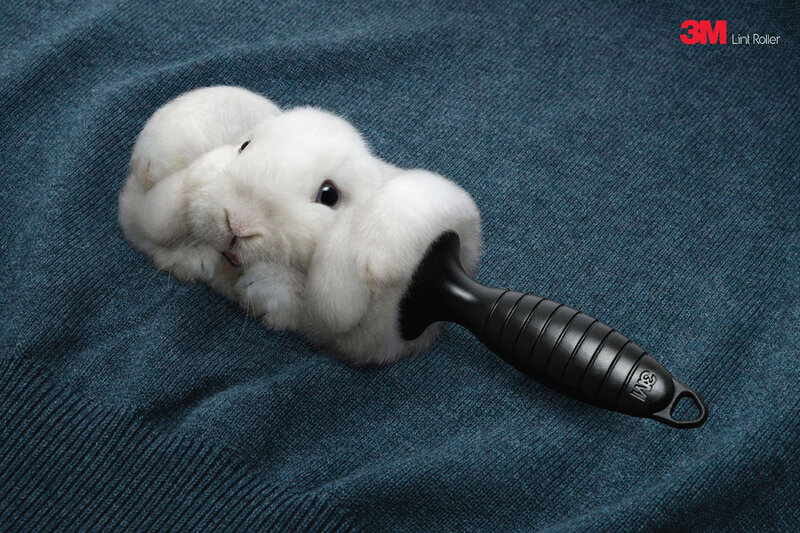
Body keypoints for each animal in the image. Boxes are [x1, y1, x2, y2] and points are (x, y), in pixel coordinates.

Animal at [119, 86, 481, 364]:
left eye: (329, 195)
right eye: (244, 146)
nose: (237, 223)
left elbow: (313, 304)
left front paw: (261, 287)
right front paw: (200, 256)